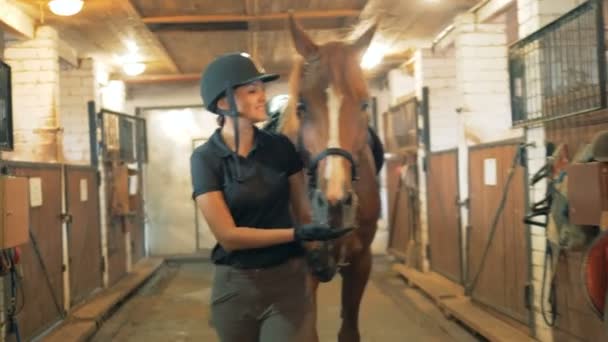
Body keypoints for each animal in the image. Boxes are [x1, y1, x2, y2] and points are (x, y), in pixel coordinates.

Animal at [276, 15, 380, 342]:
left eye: (365, 104)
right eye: (301, 106)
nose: (334, 200)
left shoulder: (361, 263)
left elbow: (349, 331)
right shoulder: (306, 270)